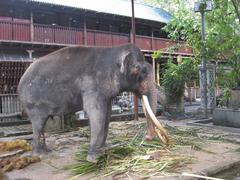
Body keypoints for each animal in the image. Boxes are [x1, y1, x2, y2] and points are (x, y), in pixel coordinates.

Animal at [18, 43, 161, 162]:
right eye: (138, 70)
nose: (147, 138)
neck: (113, 50)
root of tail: (21, 78)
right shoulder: (91, 85)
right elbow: (97, 113)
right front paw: (93, 159)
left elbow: (107, 114)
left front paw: (103, 150)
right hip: (33, 102)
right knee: (38, 123)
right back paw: (40, 155)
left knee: (41, 124)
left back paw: (46, 151)